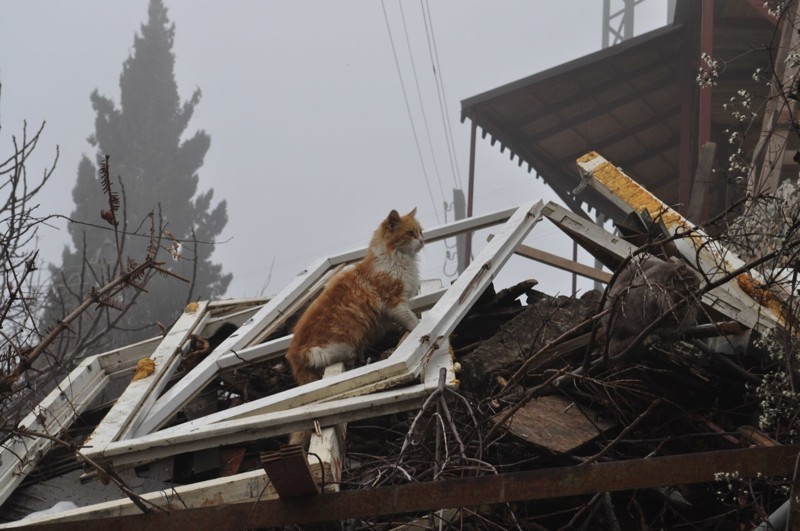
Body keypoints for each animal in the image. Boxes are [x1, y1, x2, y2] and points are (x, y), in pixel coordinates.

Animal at [286, 210, 424, 446]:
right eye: (409, 233)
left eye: (420, 231)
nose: (422, 240)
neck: (396, 260)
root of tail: (292, 355)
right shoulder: (395, 304)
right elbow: (412, 321)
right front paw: (417, 328)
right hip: (339, 348)